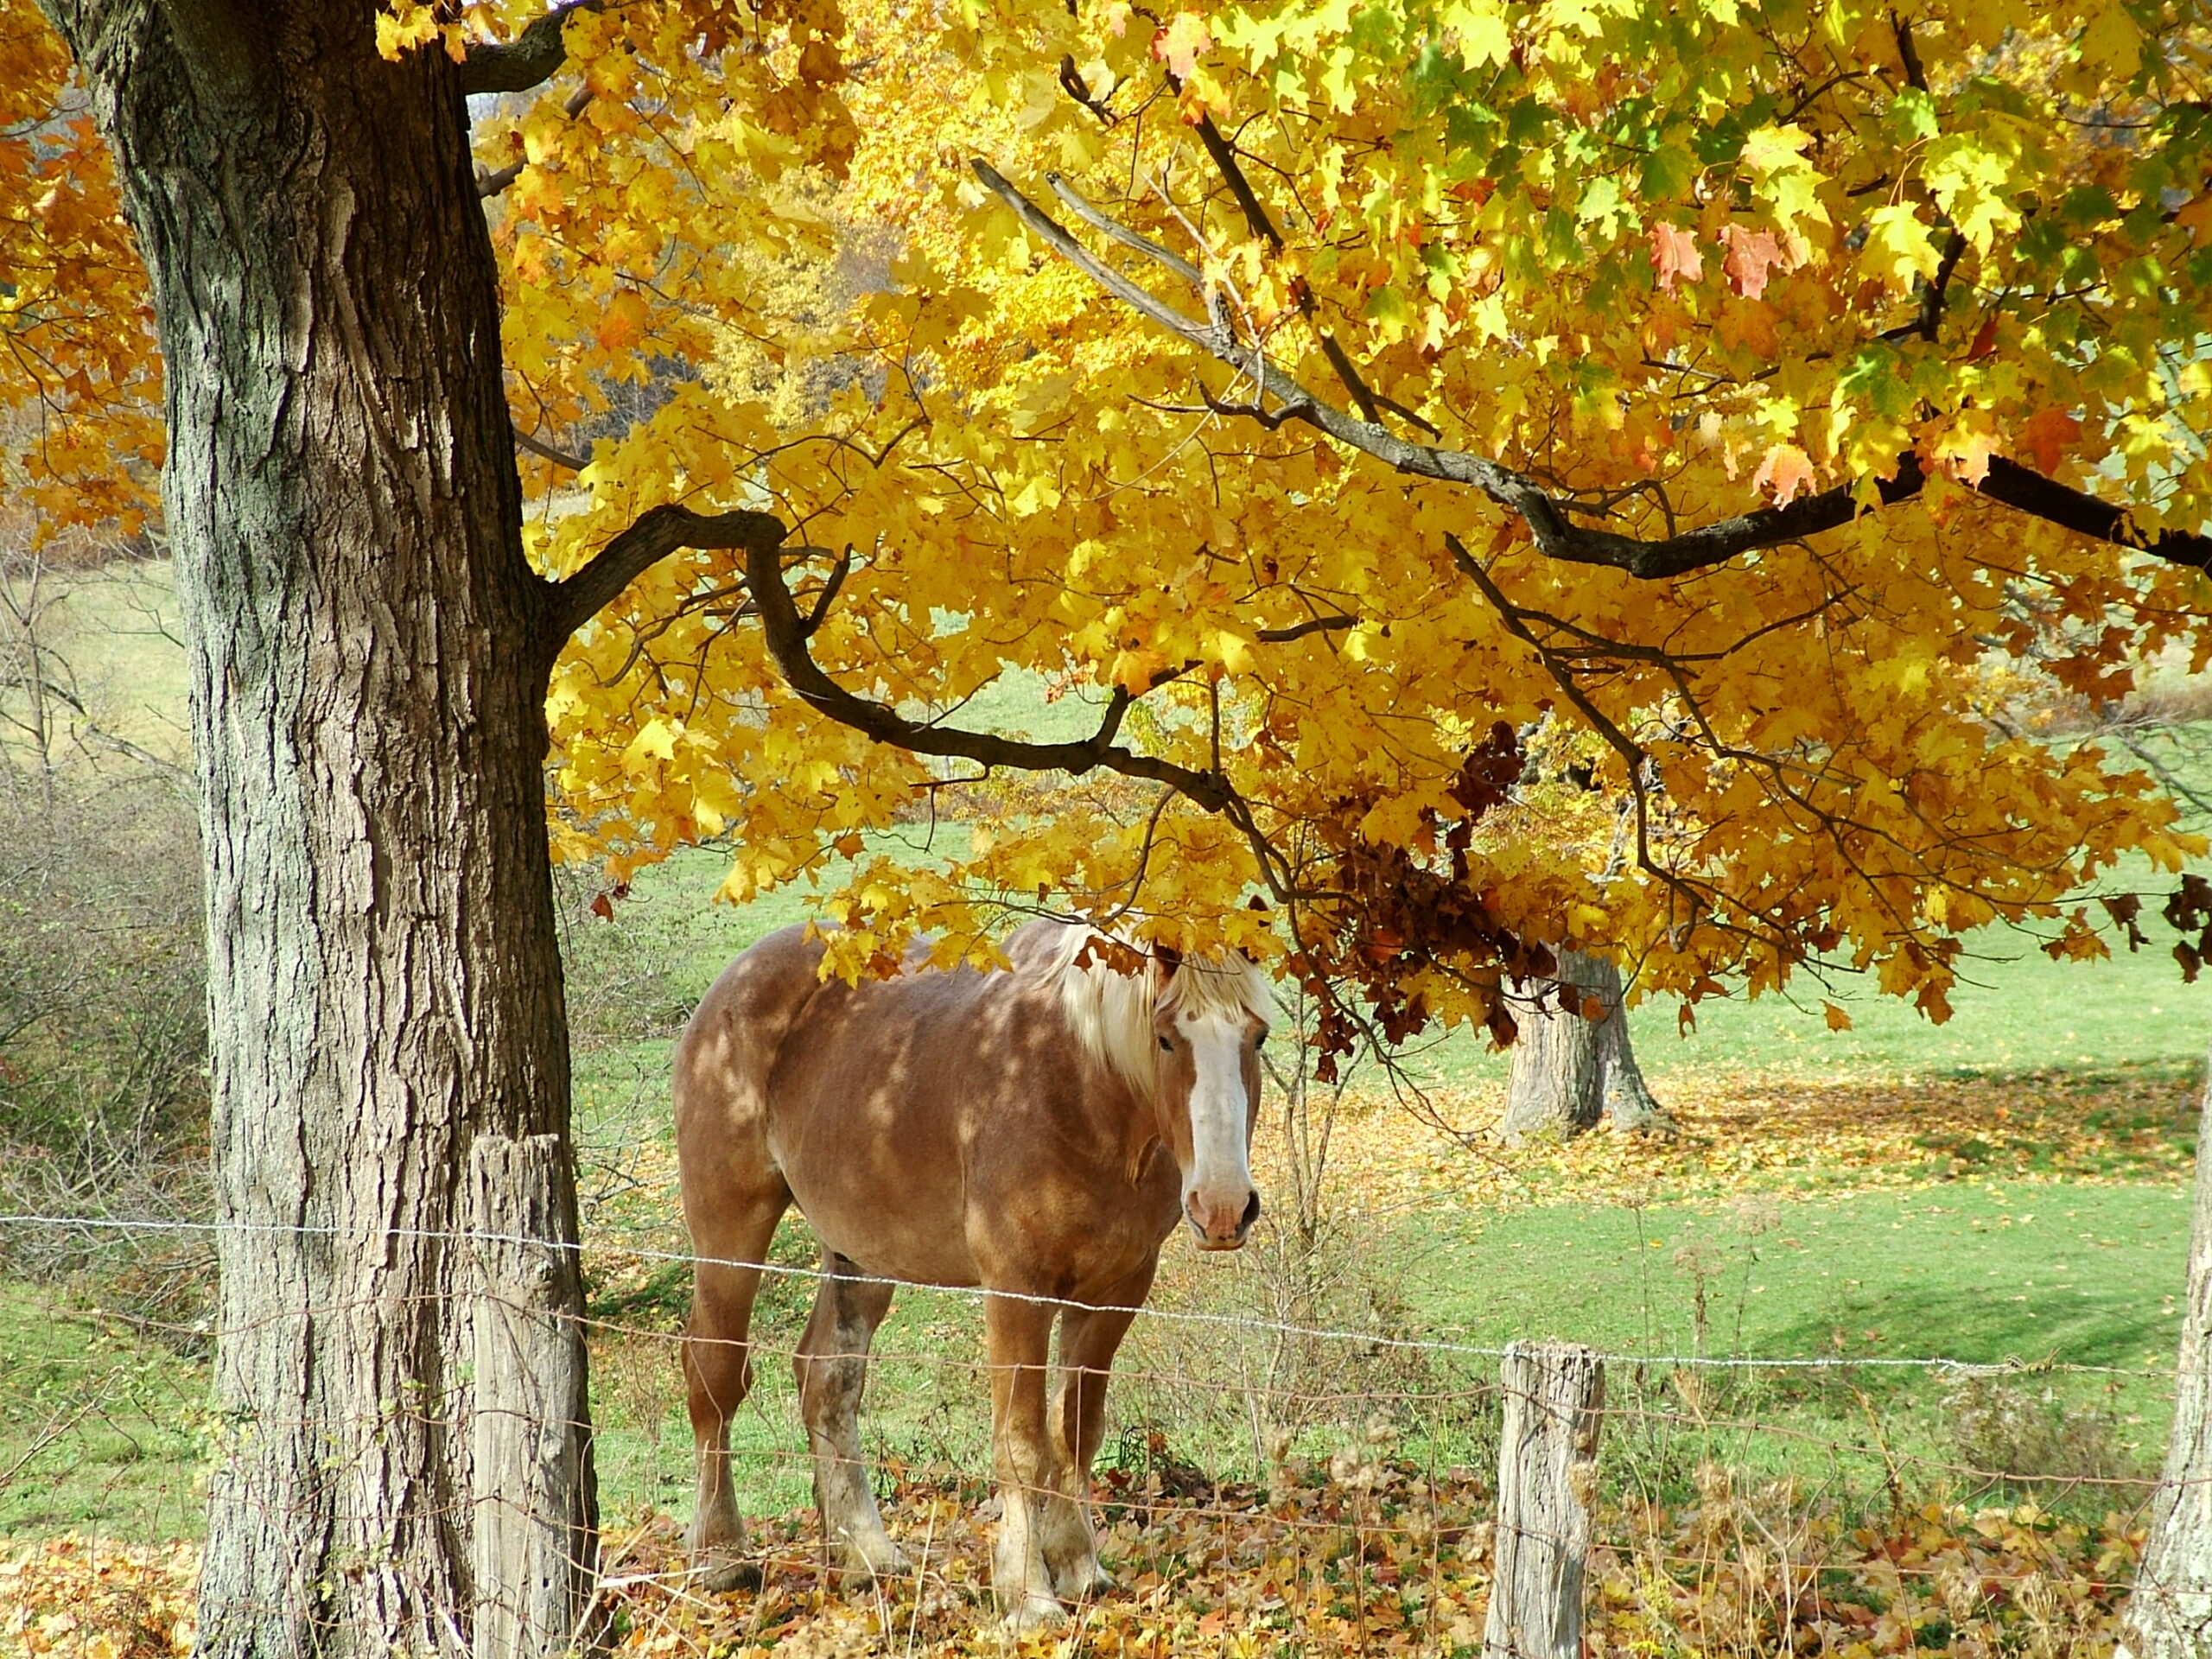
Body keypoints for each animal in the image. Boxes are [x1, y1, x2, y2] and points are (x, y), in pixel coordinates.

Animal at [664, 925, 1274, 1637]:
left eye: (1257, 1036)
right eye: (1167, 1038)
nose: (1224, 1208)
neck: (1079, 1088)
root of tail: (729, 989)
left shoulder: (1117, 1289)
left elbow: (1075, 1430)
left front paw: (1081, 1566)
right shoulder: (1017, 1289)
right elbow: (1022, 1444)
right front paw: (1028, 1595)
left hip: (857, 1253)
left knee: (827, 1380)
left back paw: (867, 1555)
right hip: (731, 1231)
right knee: (714, 1377)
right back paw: (721, 1559)